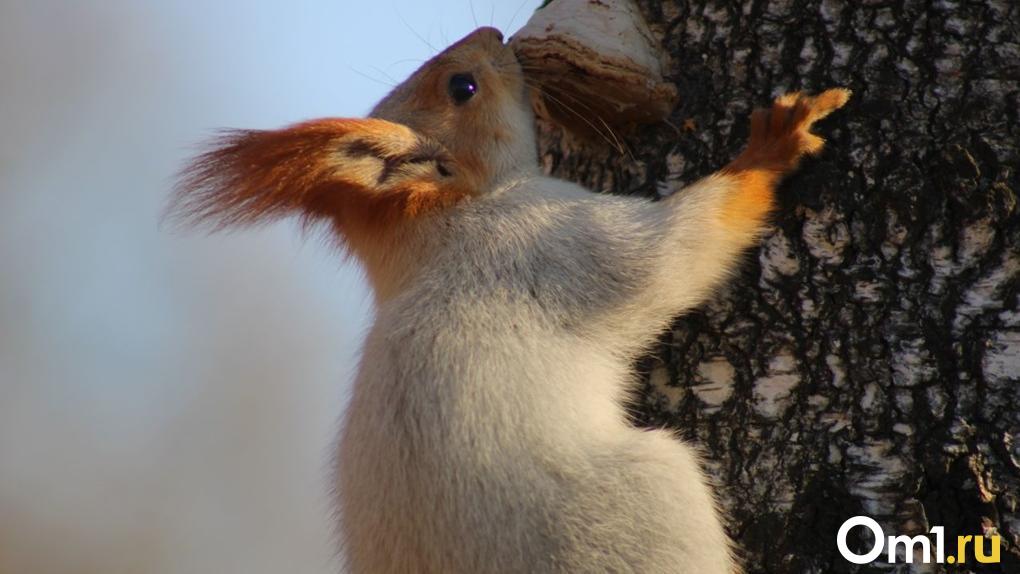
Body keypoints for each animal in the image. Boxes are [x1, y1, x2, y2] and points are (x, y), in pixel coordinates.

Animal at [171, 25, 848, 574]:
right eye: (463, 87)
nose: (496, 32)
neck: (440, 232)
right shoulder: (557, 241)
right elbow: (679, 251)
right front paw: (772, 149)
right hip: (643, 504)